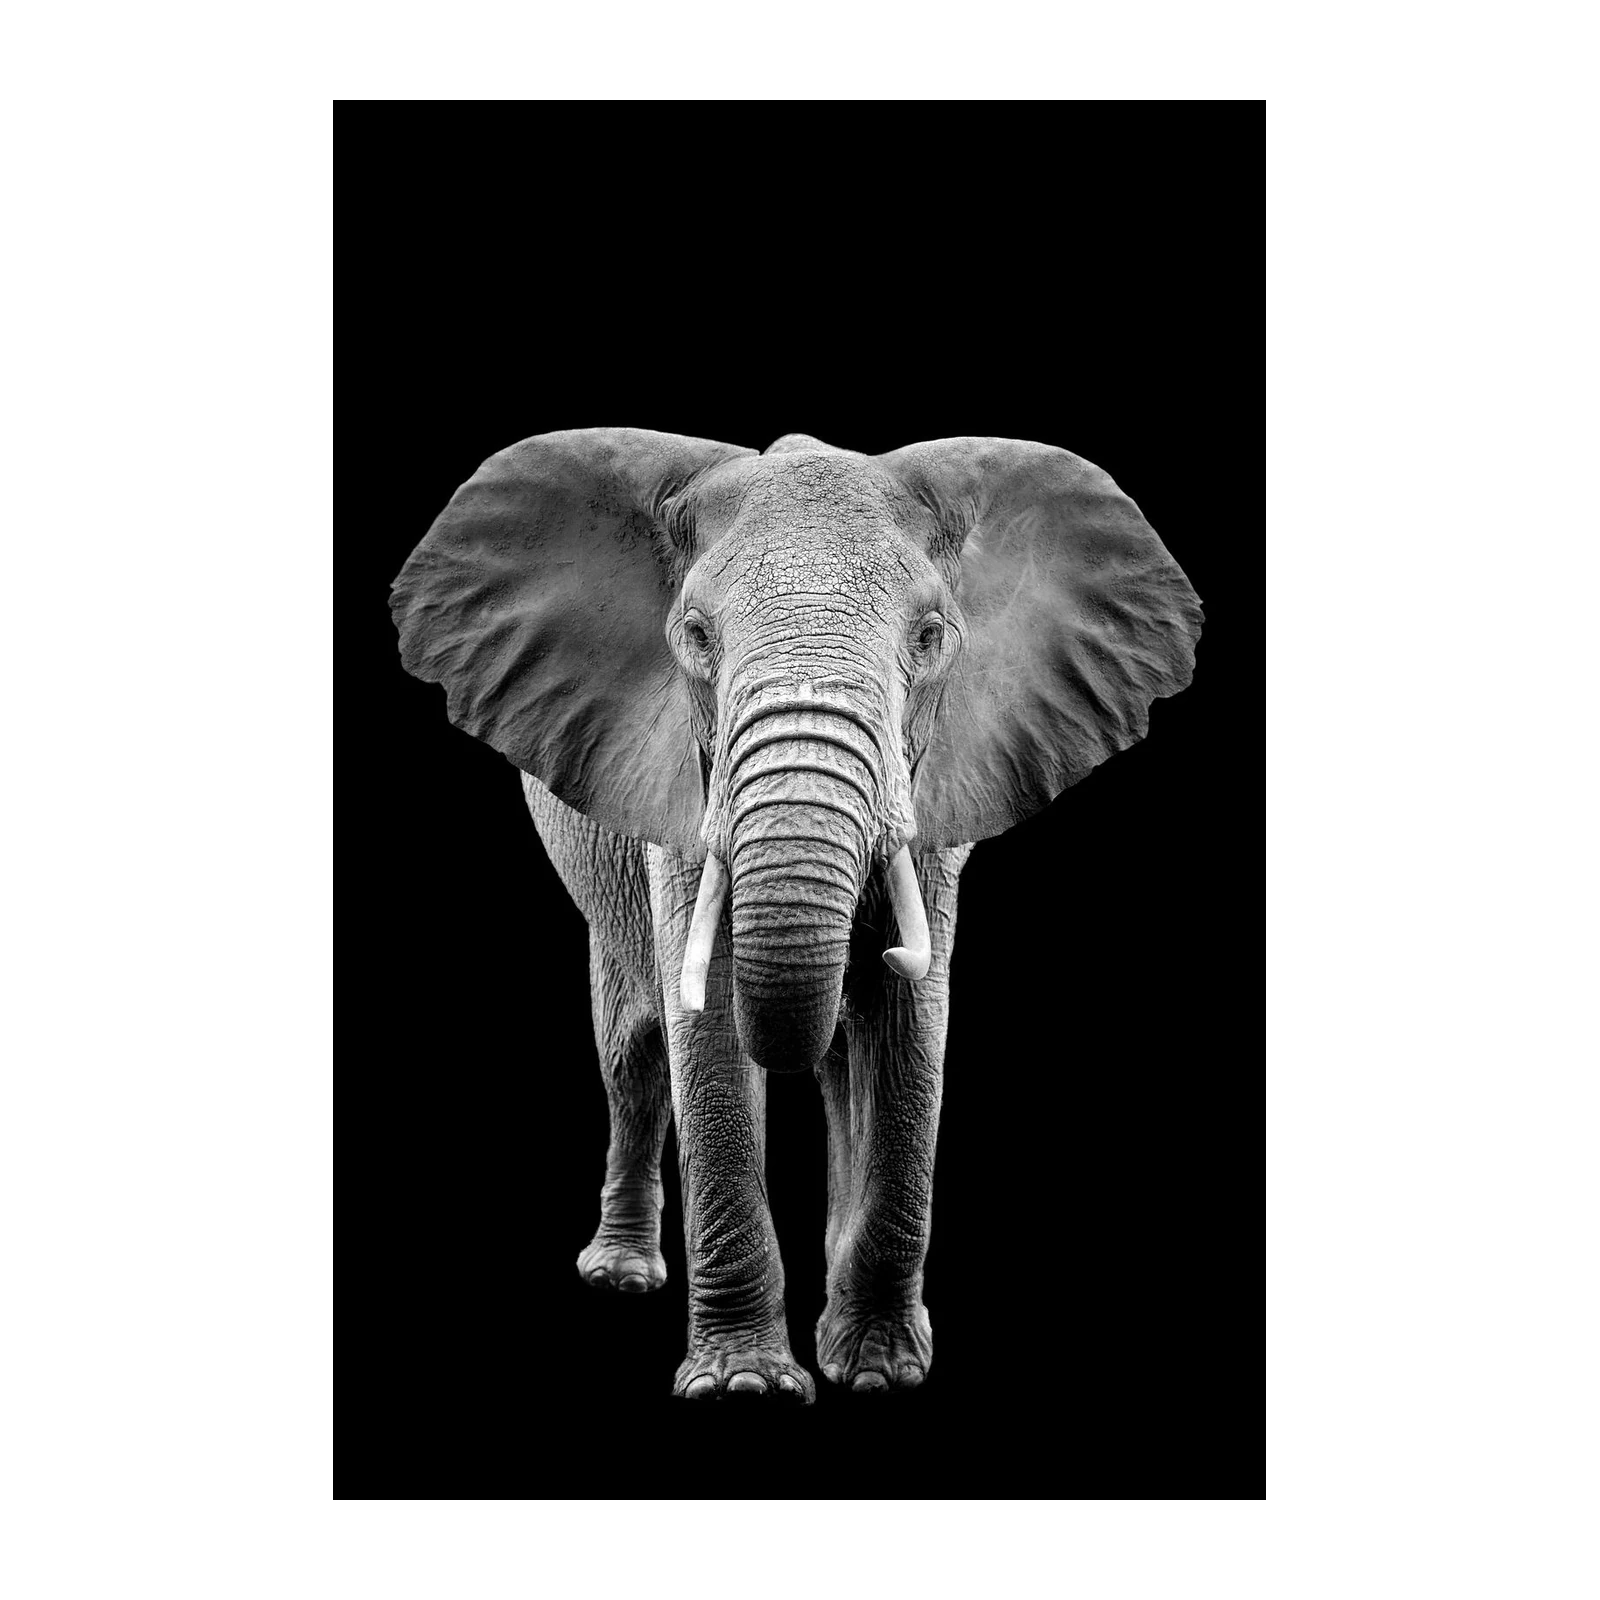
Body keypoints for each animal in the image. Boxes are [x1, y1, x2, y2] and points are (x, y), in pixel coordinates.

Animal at [390, 428, 1202, 1402]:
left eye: (930, 638)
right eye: (695, 637)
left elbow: (910, 1026)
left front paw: (880, 1370)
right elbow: (705, 1026)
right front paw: (745, 1385)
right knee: (631, 1051)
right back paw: (621, 1275)